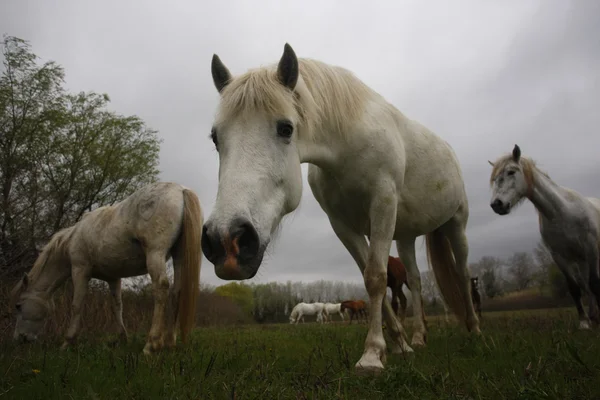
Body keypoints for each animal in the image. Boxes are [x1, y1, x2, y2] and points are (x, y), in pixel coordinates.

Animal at [9, 181, 204, 354]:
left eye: (18, 305)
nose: (19, 338)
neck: (73, 238)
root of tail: (180, 191)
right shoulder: (113, 278)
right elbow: (117, 306)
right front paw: (122, 338)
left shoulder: (80, 270)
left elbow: (77, 305)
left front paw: (67, 342)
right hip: (179, 258)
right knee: (177, 291)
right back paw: (170, 343)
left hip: (155, 254)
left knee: (161, 289)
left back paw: (151, 344)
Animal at [200, 42, 478, 374]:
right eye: (215, 137)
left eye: (286, 128)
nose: (225, 241)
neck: (347, 144)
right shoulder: (341, 224)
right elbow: (369, 276)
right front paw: (399, 345)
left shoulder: (383, 205)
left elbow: (376, 276)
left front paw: (372, 355)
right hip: (406, 237)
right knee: (416, 281)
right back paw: (420, 337)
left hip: (456, 224)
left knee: (462, 272)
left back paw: (474, 329)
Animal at [488, 144, 600, 328]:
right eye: (495, 178)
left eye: (511, 172)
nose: (496, 205)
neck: (562, 212)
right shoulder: (559, 256)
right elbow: (575, 288)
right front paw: (584, 322)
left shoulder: (591, 249)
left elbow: (594, 283)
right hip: (581, 260)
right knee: (585, 284)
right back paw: (593, 316)